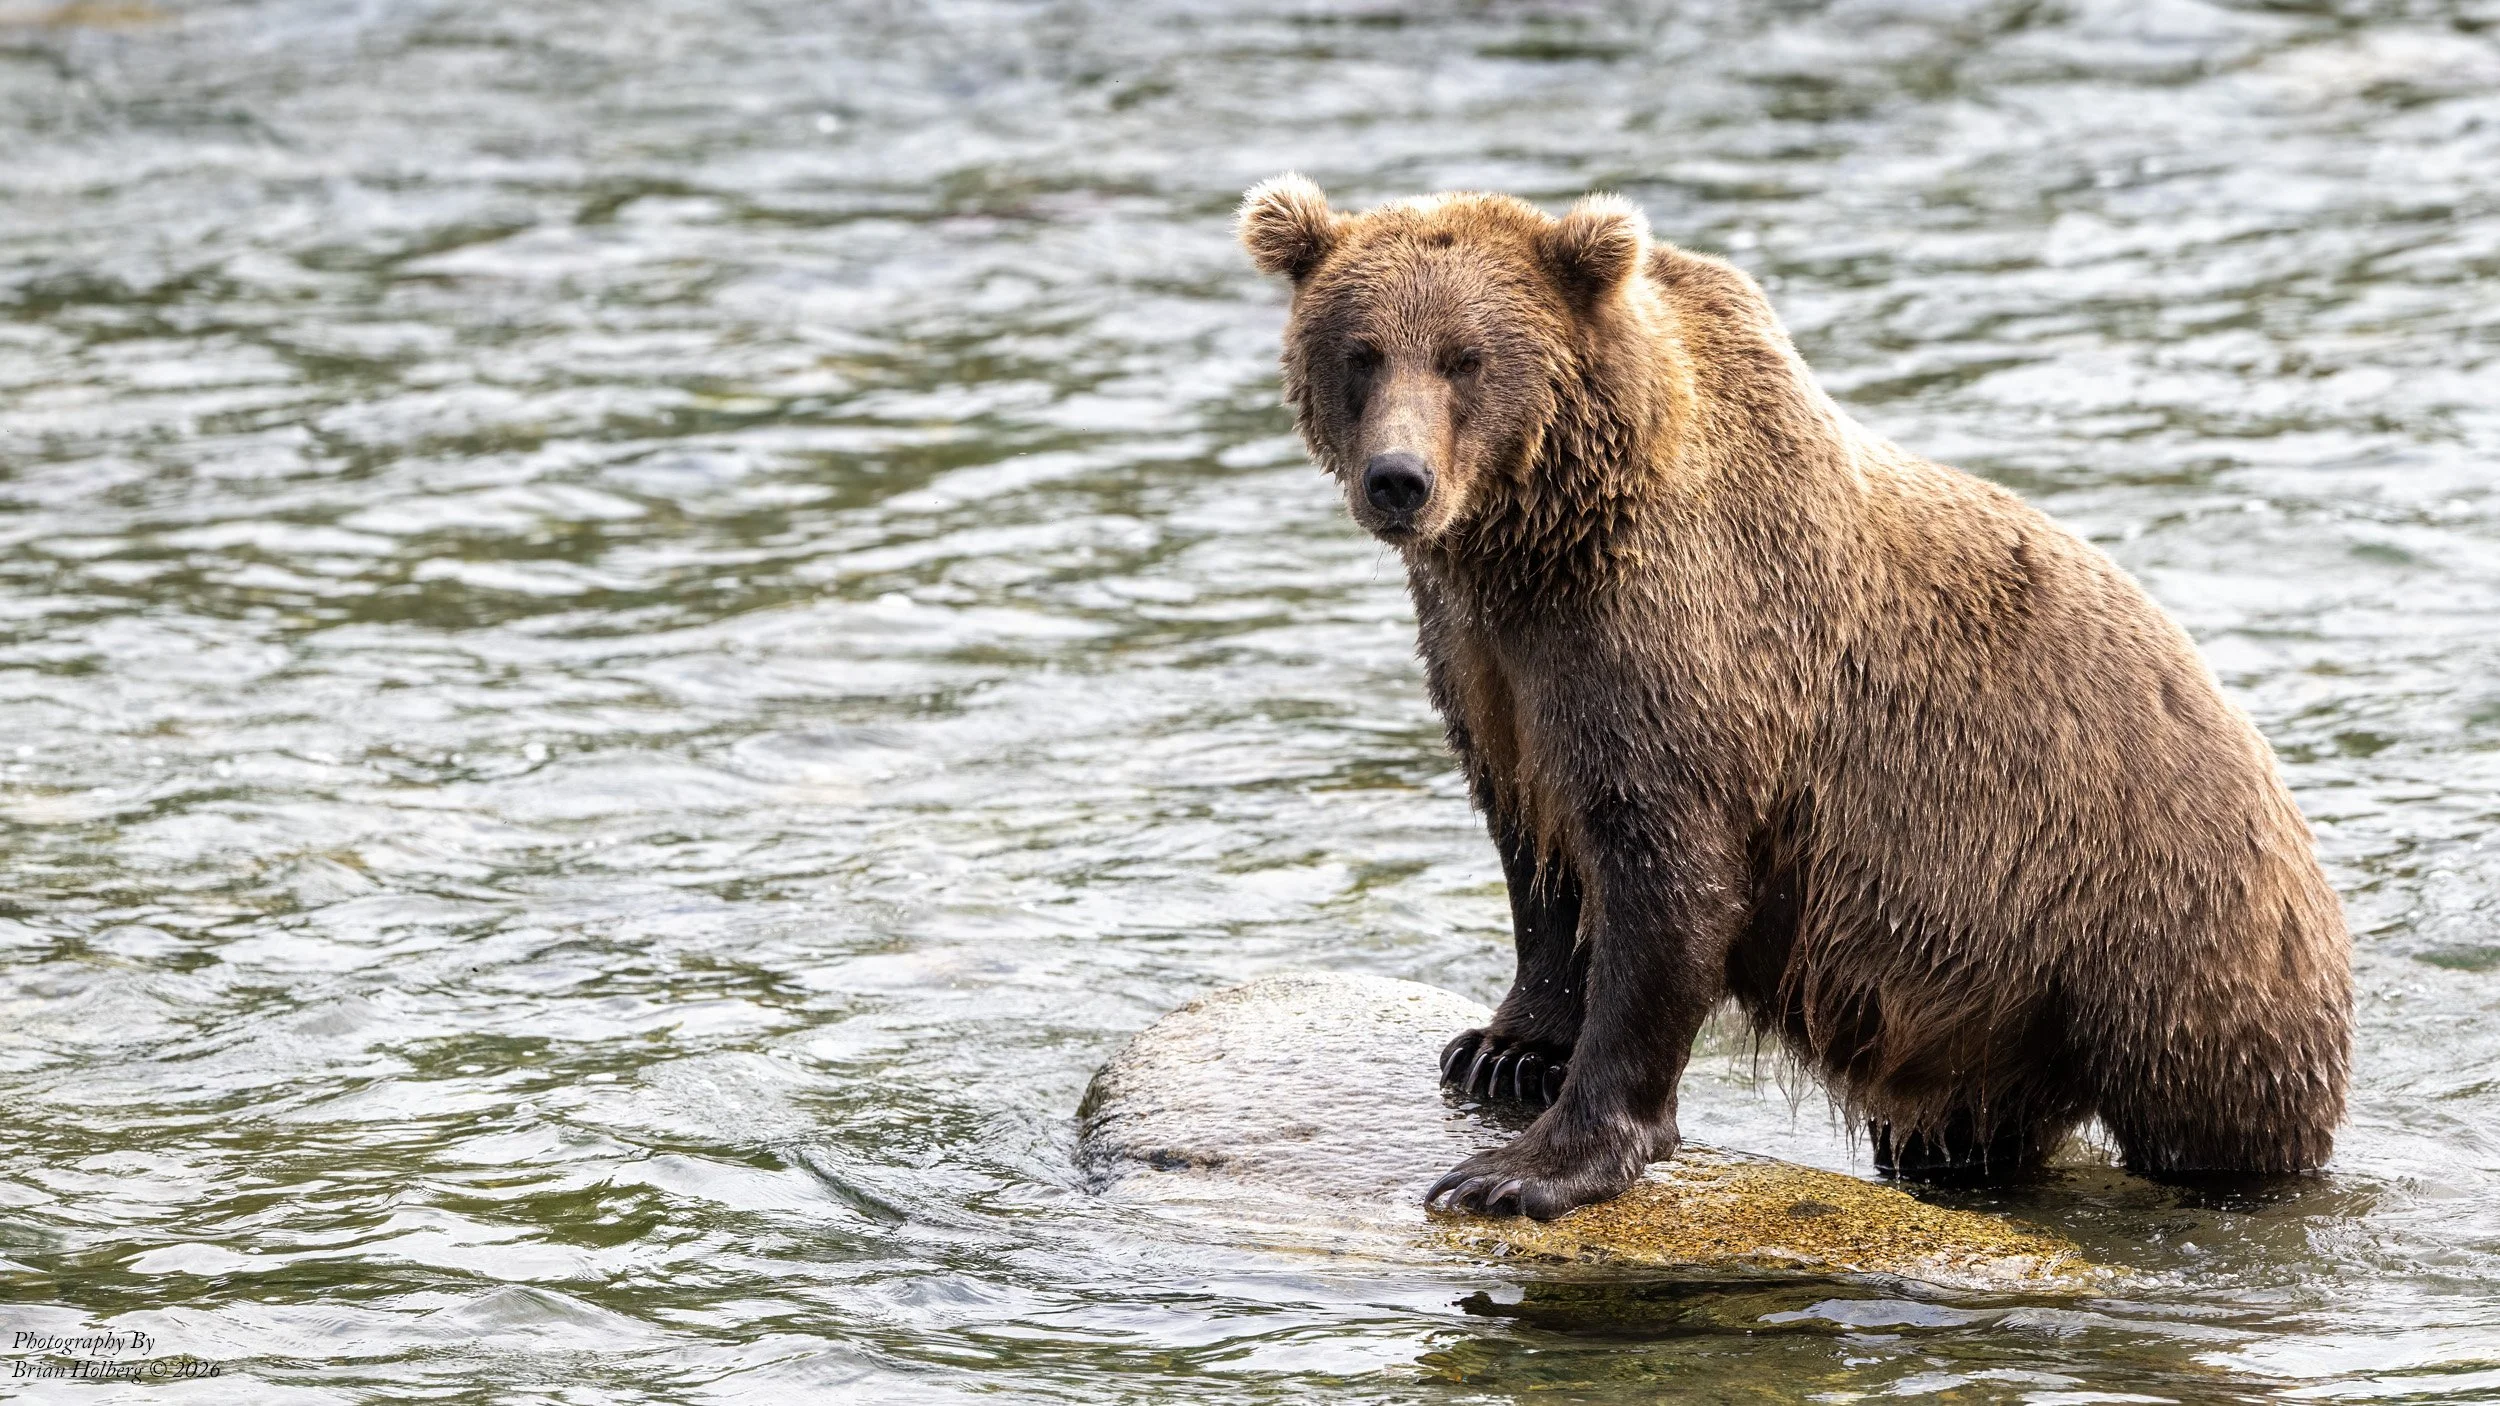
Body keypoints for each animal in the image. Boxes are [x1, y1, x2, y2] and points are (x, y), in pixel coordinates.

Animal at [1237, 173, 2353, 1221]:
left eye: (1466, 357)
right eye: (1361, 352)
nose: (1399, 479)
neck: (1538, 541)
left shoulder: (1680, 649)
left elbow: (1666, 880)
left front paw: (1526, 1168)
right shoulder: (1489, 667)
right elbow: (1538, 855)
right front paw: (1502, 1048)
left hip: (2158, 929)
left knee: (2219, 1118)